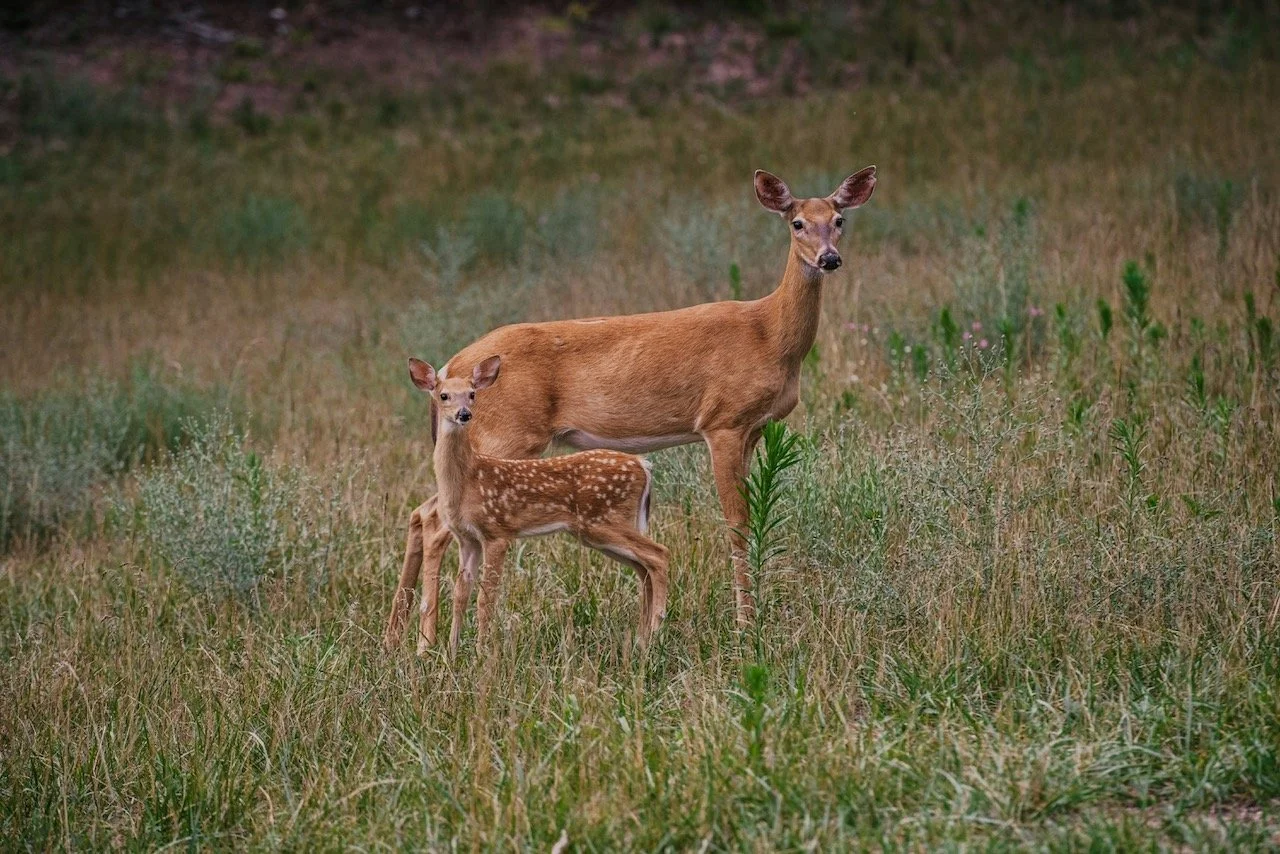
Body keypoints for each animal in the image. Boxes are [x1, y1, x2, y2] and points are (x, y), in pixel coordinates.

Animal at [407, 354, 669, 654]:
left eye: (472, 394)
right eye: (444, 395)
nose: (464, 414)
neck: (467, 481)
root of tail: (643, 466)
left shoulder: (497, 531)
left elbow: (486, 597)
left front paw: (481, 651)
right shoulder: (467, 539)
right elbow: (461, 594)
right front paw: (451, 651)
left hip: (604, 520)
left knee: (659, 555)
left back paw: (656, 632)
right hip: (601, 530)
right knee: (644, 567)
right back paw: (642, 638)